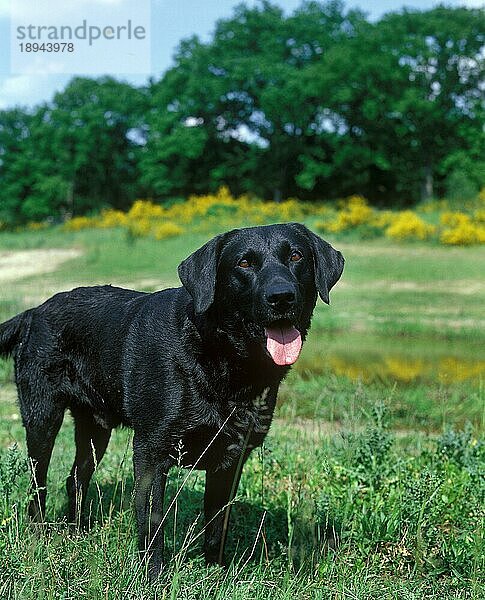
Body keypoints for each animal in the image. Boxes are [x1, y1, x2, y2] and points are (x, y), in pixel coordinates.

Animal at [0, 224, 342, 576]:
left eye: (296, 256)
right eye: (245, 263)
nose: (282, 296)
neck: (218, 356)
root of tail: (33, 313)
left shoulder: (231, 458)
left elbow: (217, 526)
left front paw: (217, 574)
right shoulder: (151, 452)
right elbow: (153, 525)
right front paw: (153, 579)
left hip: (96, 428)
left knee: (75, 481)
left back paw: (77, 534)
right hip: (42, 419)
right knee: (38, 483)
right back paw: (40, 535)